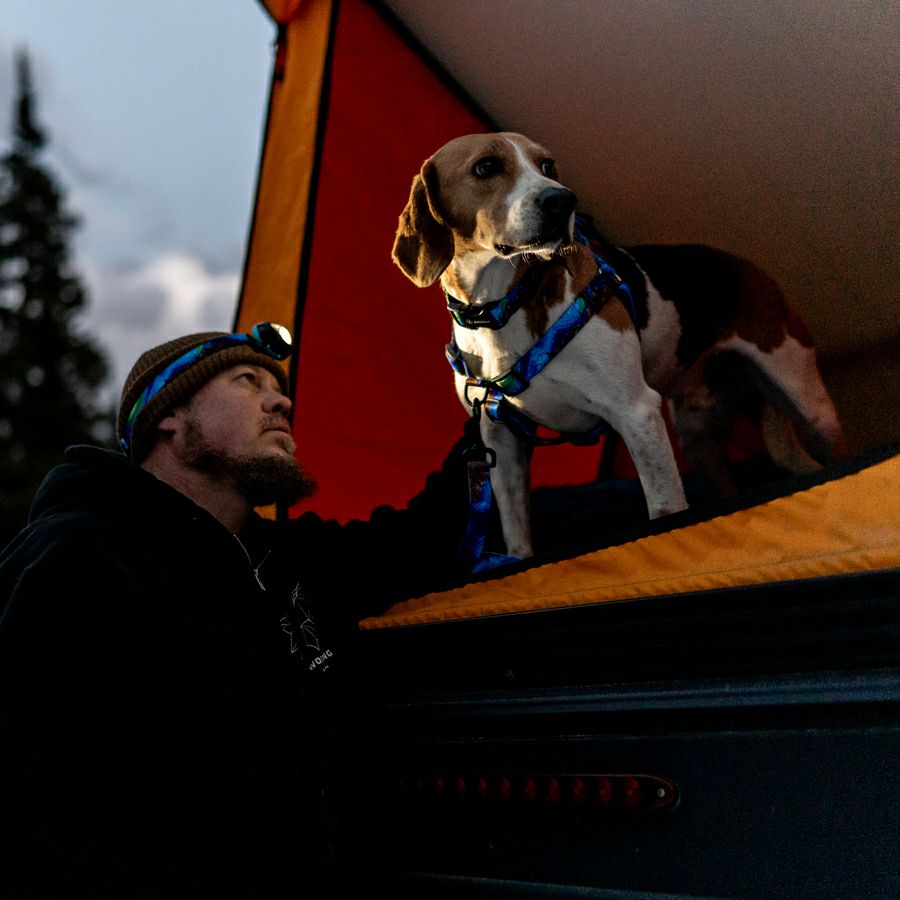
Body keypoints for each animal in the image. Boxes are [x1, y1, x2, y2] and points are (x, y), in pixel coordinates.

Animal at [392, 132, 846, 560]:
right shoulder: (501, 440)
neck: (501, 308)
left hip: (806, 399)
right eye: (485, 167)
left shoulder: (636, 411)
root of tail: (750, 268)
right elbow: (517, 534)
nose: (563, 201)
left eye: (547, 165)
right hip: (697, 435)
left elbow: (665, 509)